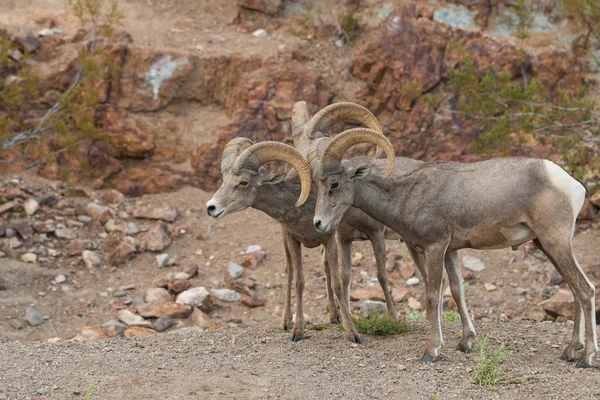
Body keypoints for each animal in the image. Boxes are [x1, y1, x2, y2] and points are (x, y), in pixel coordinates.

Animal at [310, 129, 596, 368]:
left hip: (555, 242)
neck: (406, 195)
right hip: (547, 245)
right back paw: (569, 351)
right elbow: (458, 291)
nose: (318, 223)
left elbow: (433, 295)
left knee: (585, 289)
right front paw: (465, 342)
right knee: (575, 289)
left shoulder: (435, 247)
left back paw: (585, 358)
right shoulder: (451, 251)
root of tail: (572, 185)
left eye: (334, 185)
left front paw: (432, 351)